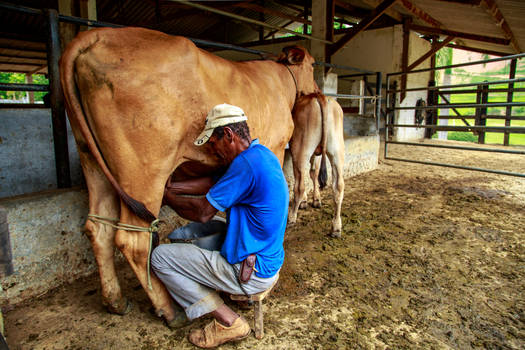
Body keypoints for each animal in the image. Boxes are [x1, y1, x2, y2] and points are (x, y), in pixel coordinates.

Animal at [59, 26, 318, 322]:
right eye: (313, 65)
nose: (317, 90)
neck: (280, 82)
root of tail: (98, 34)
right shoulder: (274, 147)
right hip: (143, 171)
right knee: (133, 240)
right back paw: (168, 309)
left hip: (91, 160)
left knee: (98, 228)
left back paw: (115, 301)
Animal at [286, 91, 344, 237]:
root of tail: (320, 96)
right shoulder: (316, 154)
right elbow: (314, 173)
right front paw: (315, 200)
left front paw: (305, 201)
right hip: (337, 150)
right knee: (338, 186)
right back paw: (336, 227)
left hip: (301, 148)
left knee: (299, 185)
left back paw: (291, 217)